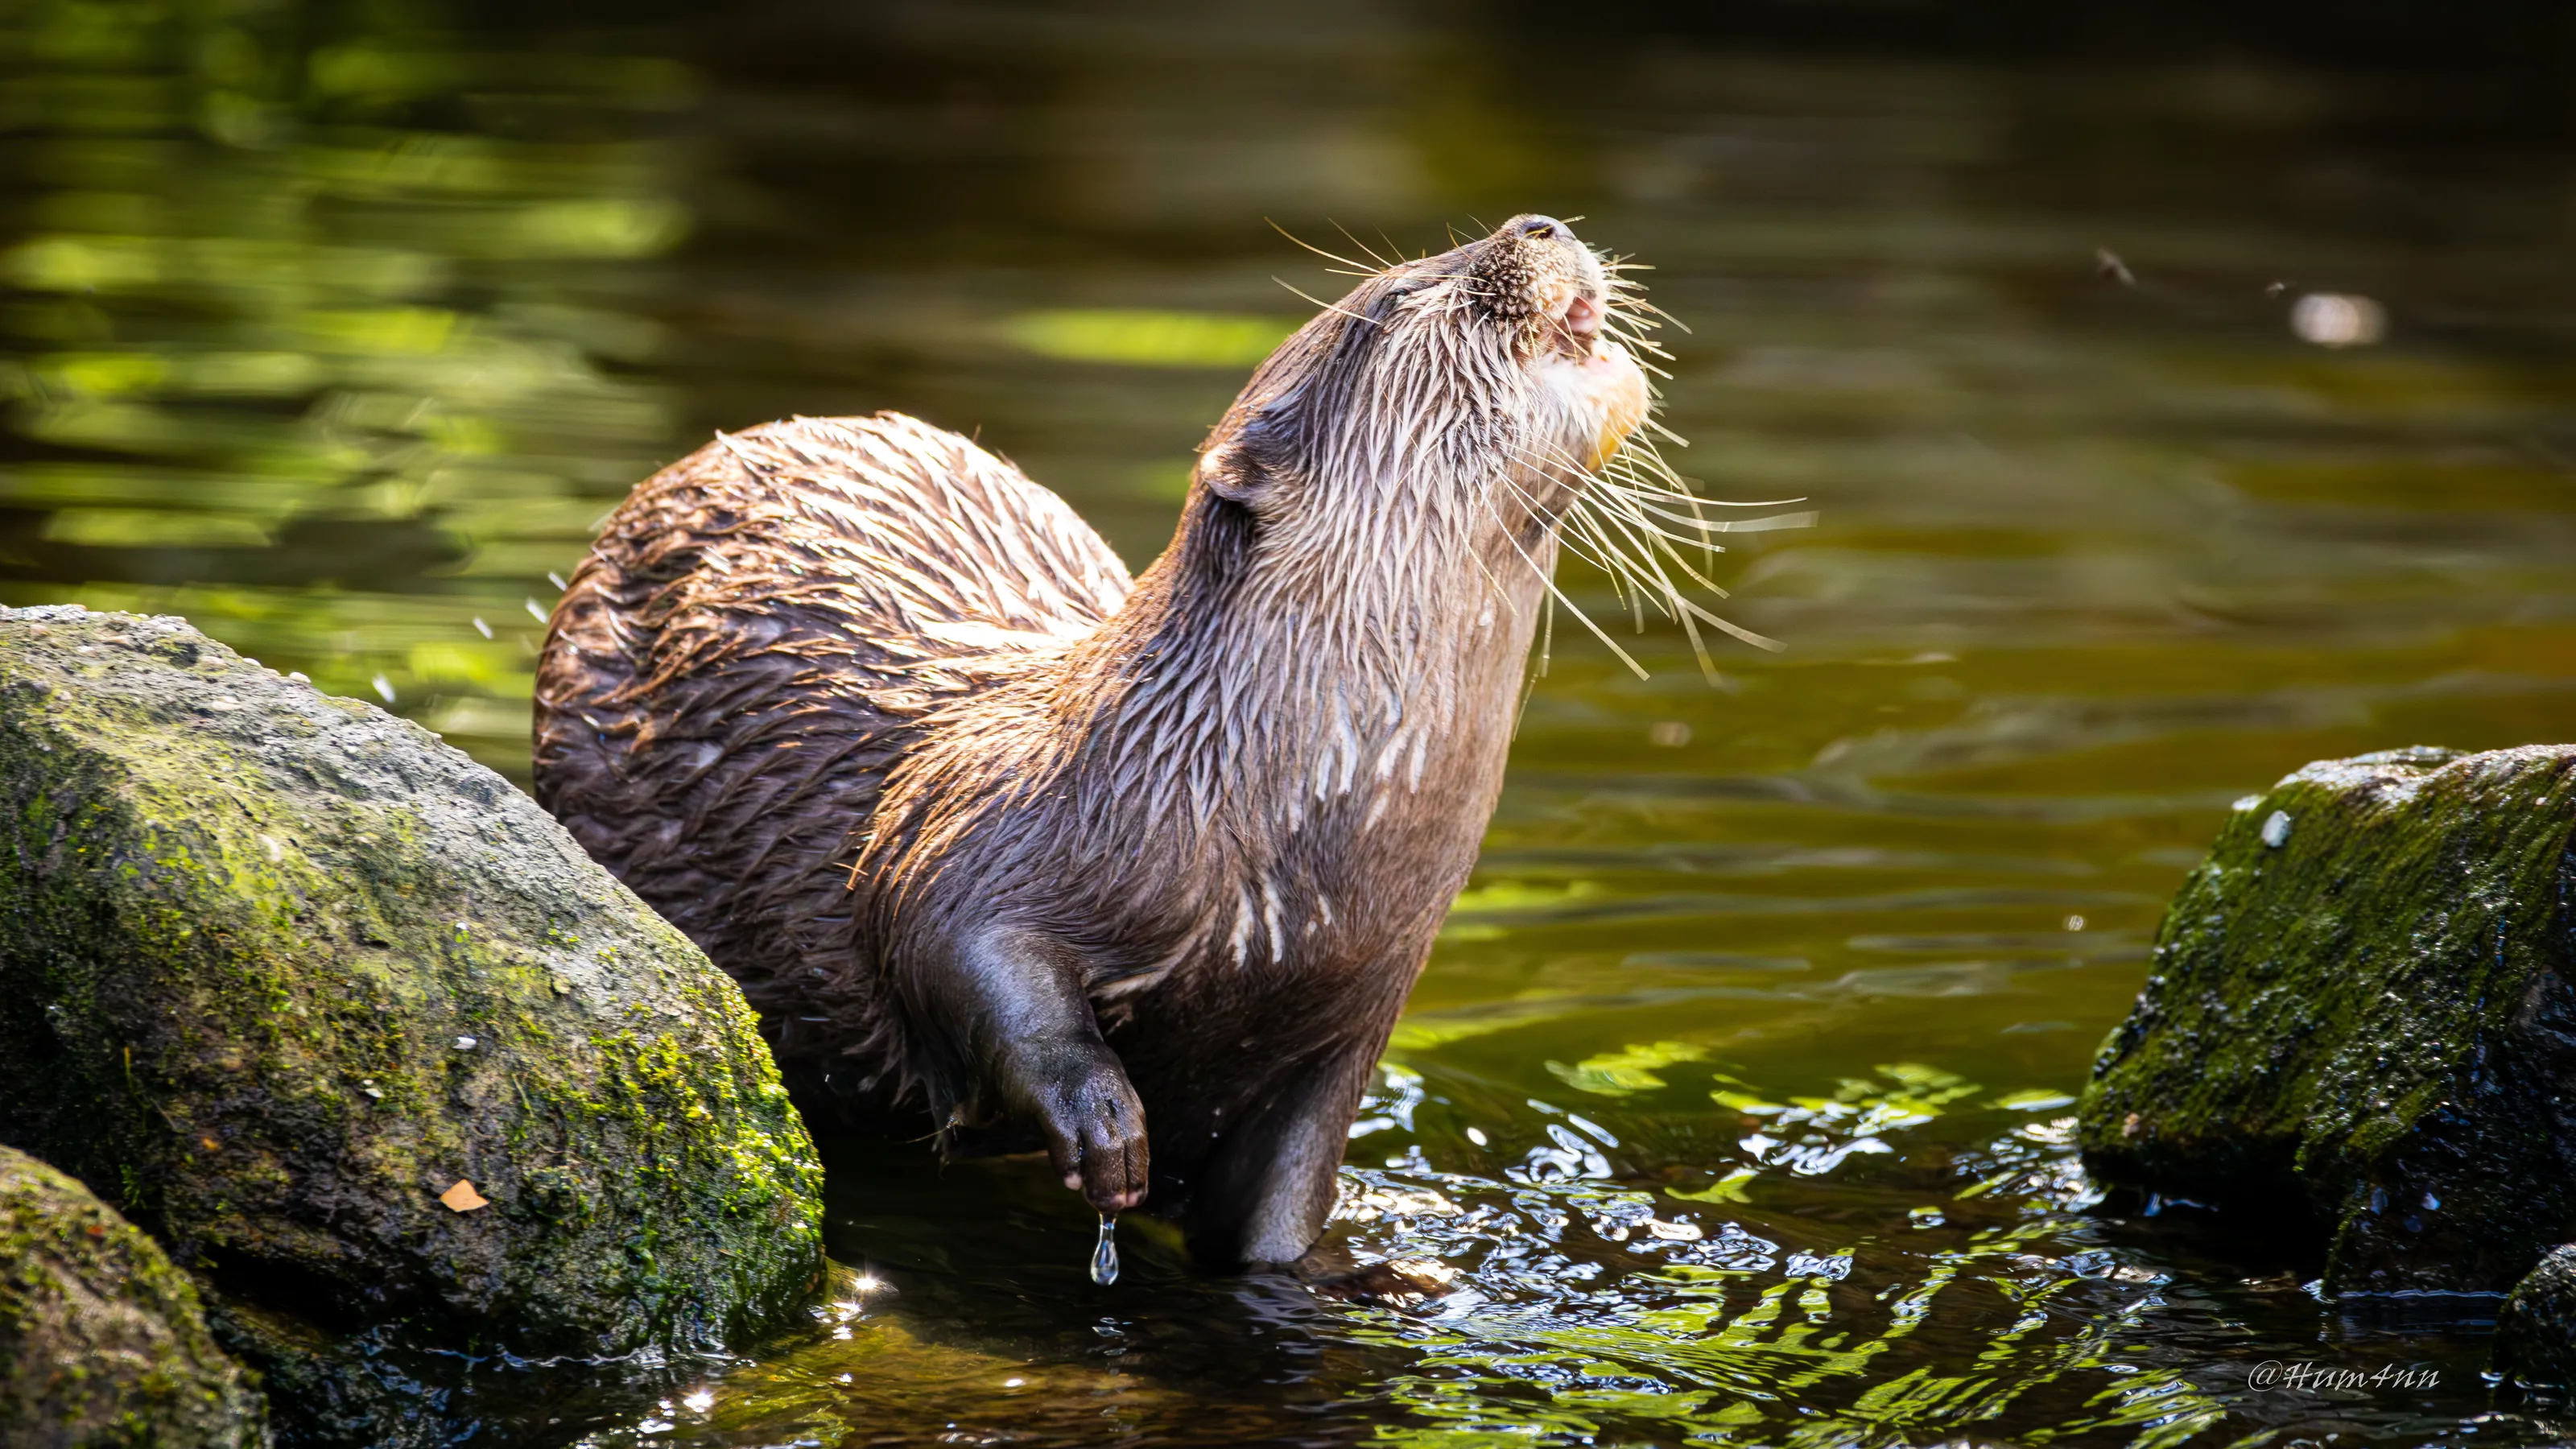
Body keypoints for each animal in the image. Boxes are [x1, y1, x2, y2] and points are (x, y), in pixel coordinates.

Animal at [534, 215, 1727, 1268]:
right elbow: (951, 940)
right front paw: (1104, 1126)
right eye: (1394, 301)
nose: (1537, 225)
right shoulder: (982, 829)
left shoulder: (1352, 1020)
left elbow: (1284, 1210)